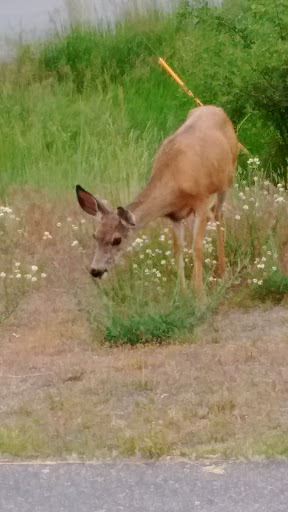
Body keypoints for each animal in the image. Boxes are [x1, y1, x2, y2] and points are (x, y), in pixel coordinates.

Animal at [76, 105, 238, 292]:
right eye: (95, 236)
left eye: (117, 240)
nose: (95, 271)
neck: (175, 181)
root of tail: (215, 108)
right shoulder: (175, 215)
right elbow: (178, 249)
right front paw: (182, 290)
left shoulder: (201, 202)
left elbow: (196, 247)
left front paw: (199, 292)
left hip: (226, 181)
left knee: (219, 216)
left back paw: (223, 272)